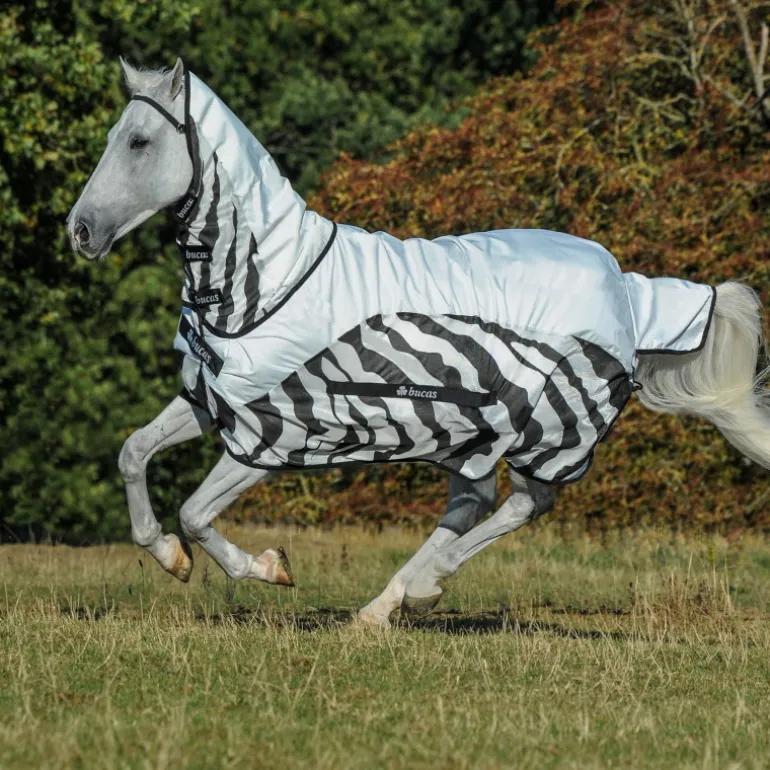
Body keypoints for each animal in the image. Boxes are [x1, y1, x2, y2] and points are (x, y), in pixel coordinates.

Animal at [68, 58, 770, 627]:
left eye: (138, 140)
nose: (79, 231)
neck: (266, 283)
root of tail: (627, 287)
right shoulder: (213, 398)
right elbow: (132, 454)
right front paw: (171, 558)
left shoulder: (276, 430)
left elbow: (194, 511)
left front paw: (270, 568)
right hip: (477, 431)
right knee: (475, 502)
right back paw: (383, 606)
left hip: (547, 427)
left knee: (523, 504)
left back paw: (422, 588)